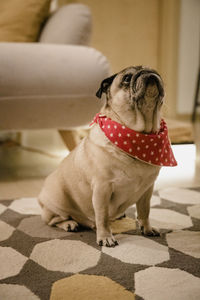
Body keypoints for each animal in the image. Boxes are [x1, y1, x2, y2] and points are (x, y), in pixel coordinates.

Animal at [38, 65, 169, 246]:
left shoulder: (147, 189)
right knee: (53, 220)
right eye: (127, 78)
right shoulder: (102, 189)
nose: (148, 73)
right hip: (58, 199)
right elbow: (102, 217)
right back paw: (70, 224)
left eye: (155, 71)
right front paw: (105, 237)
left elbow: (144, 211)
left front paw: (147, 229)